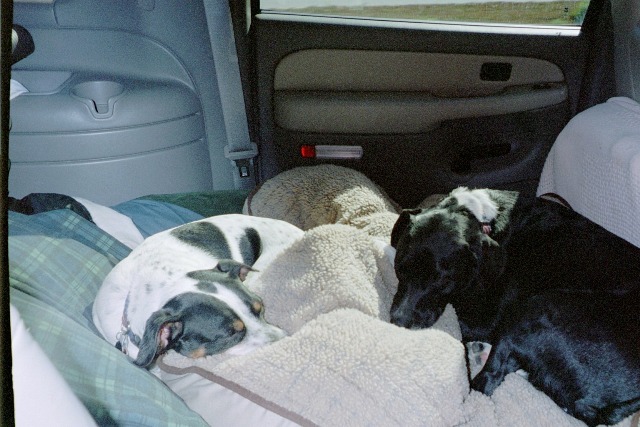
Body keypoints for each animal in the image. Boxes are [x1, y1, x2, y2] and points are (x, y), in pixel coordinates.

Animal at [390, 189, 640, 426]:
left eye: (442, 281)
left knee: (489, 379)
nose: (398, 322)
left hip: (536, 307)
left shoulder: (487, 319)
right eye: (399, 268)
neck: (480, 217)